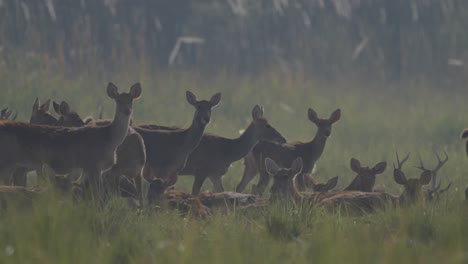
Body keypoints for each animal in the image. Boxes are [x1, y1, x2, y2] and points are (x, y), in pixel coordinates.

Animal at [0, 83, 142, 199]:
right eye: (118, 100)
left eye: (131, 100)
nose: (127, 110)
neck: (110, 140)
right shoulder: (93, 165)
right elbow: (97, 196)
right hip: (7, 163)